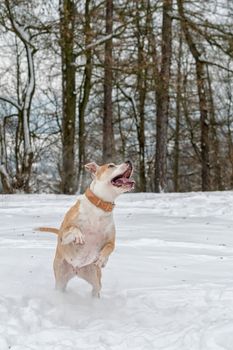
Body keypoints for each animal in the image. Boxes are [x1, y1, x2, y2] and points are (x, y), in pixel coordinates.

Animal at [38, 160, 135, 296]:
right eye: (111, 165)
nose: (129, 161)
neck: (99, 208)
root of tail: (76, 269)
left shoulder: (111, 240)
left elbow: (109, 247)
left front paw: (103, 259)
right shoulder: (63, 235)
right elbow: (73, 229)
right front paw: (78, 236)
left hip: (95, 279)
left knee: (96, 289)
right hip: (60, 279)